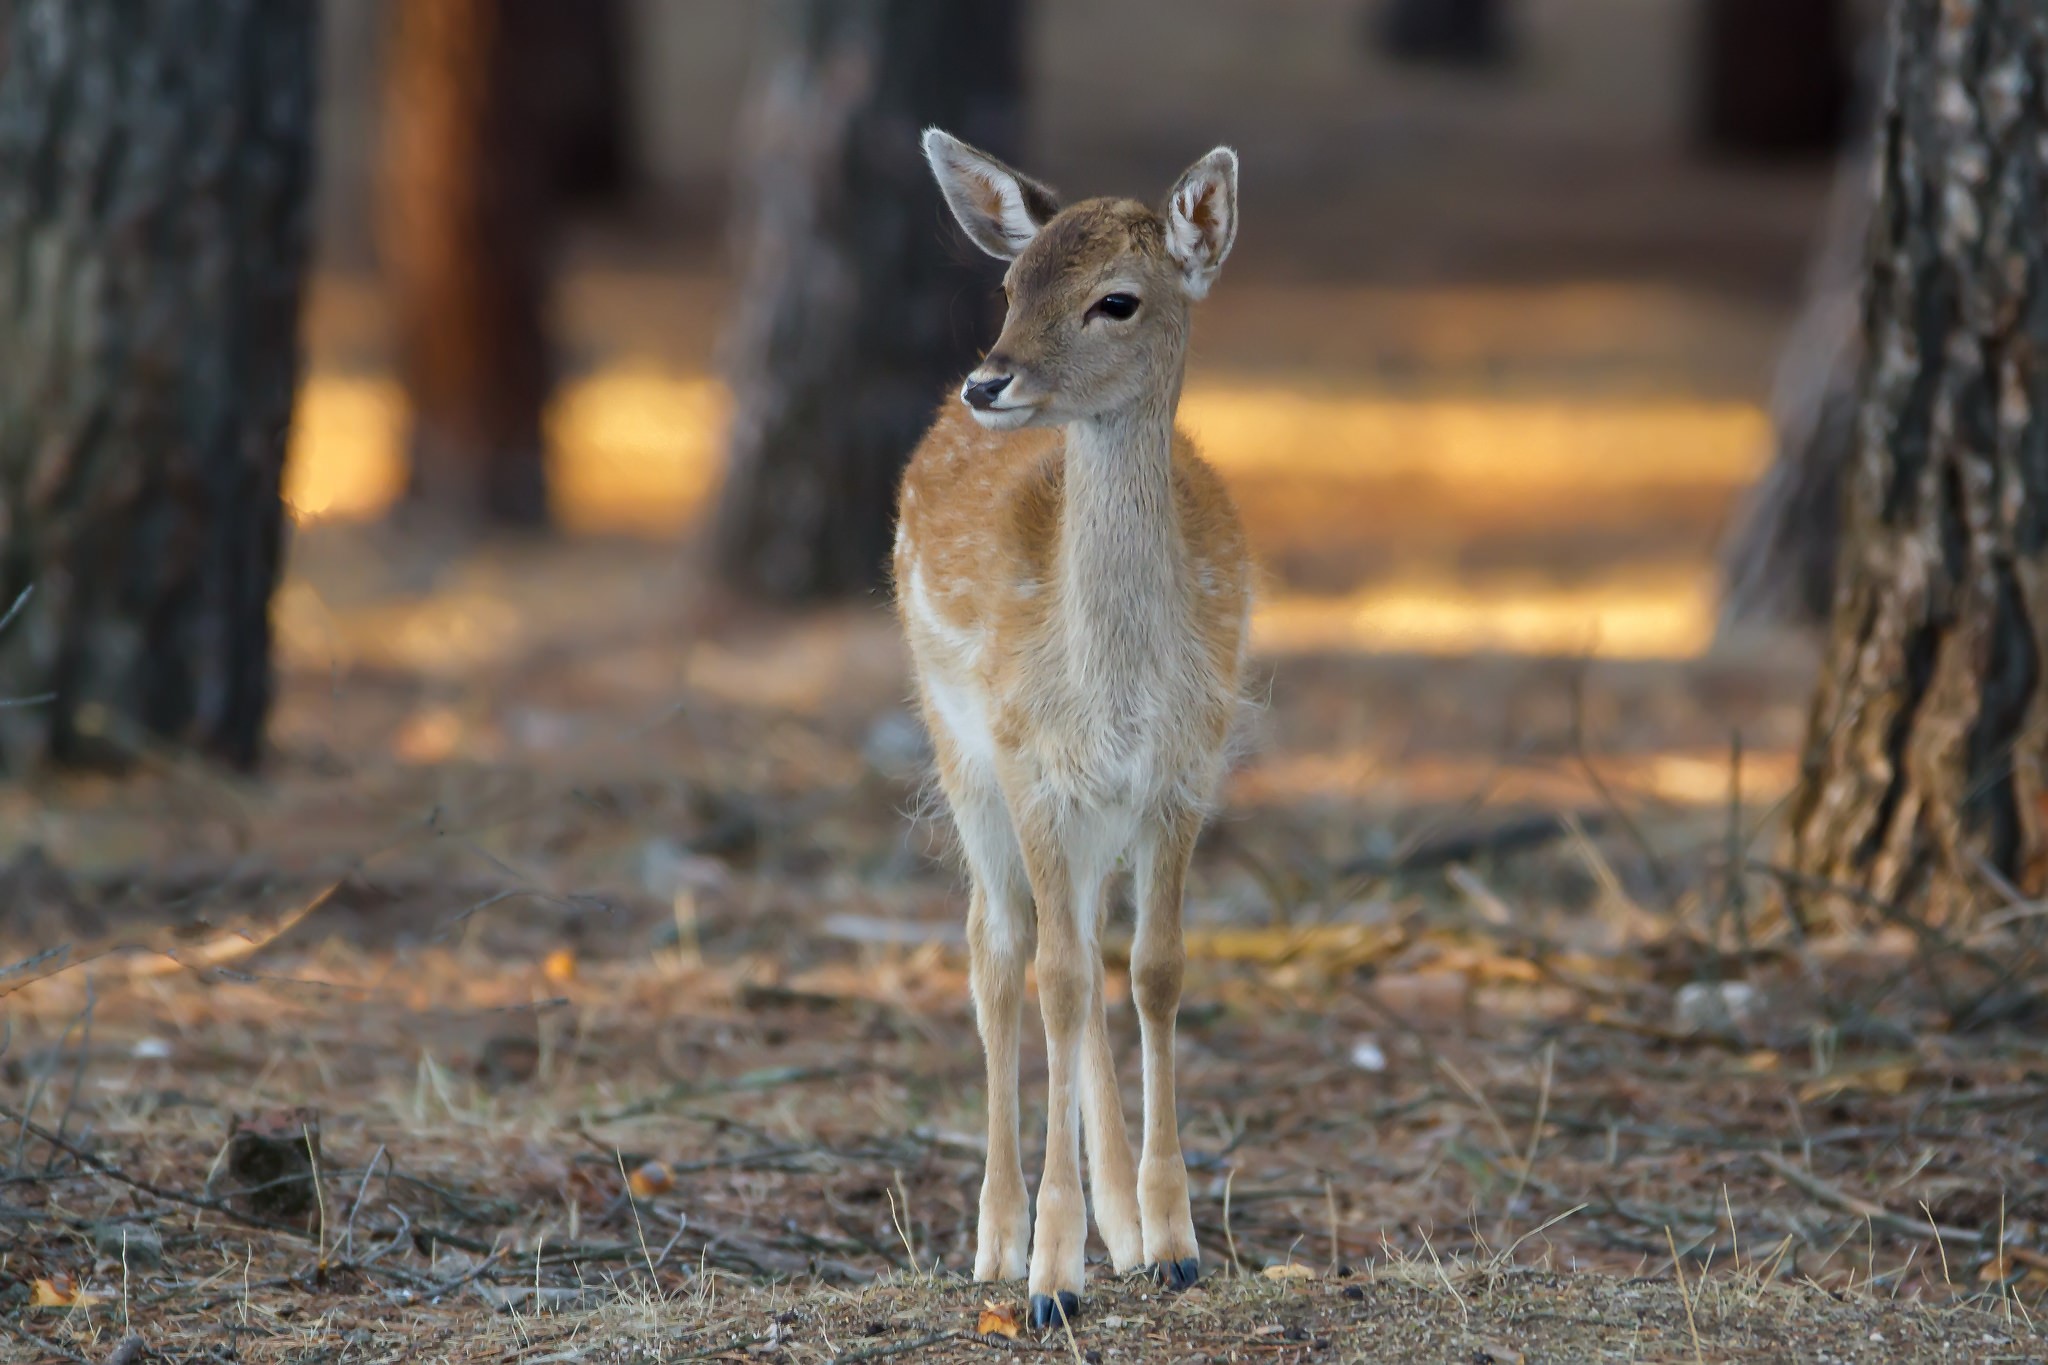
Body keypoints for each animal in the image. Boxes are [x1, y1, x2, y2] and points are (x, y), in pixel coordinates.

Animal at [893, 129, 1248, 1330]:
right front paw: (1052, 1275)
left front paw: (1174, 1243)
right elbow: (1047, 977)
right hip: (957, 749)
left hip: (1091, 811)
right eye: (1011, 285)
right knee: (999, 950)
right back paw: (995, 1244)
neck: (1114, 685)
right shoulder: (1029, 760)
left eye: (1116, 300)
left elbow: (1155, 969)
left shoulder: (1184, 769)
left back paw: (1123, 1233)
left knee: (1086, 949)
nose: (987, 378)